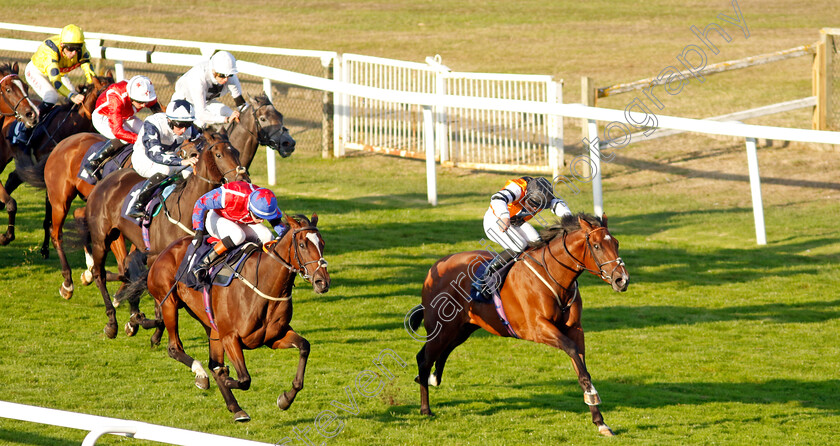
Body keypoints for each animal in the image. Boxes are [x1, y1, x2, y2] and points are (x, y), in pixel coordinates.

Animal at [82, 132, 246, 338]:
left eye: (237, 152)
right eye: (219, 155)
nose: (243, 179)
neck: (185, 208)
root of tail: (106, 179)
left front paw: (141, 322)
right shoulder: (157, 258)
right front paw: (143, 322)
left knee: (126, 265)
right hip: (101, 238)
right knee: (99, 273)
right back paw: (112, 321)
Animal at [123, 215, 330, 422]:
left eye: (322, 243)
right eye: (302, 244)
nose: (322, 282)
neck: (263, 283)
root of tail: (162, 252)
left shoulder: (273, 337)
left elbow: (304, 347)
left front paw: (285, 399)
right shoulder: (230, 337)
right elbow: (243, 379)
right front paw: (227, 377)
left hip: (210, 325)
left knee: (211, 361)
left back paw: (235, 407)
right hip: (169, 304)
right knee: (175, 348)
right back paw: (201, 374)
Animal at [406, 214, 632, 438]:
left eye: (616, 243)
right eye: (596, 246)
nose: (622, 280)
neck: (554, 276)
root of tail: (434, 267)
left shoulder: (576, 329)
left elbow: (581, 366)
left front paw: (600, 420)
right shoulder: (538, 328)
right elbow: (572, 351)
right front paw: (593, 397)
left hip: (461, 329)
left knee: (437, 354)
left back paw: (432, 379)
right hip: (442, 328)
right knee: (424, 359)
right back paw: (425, 408)